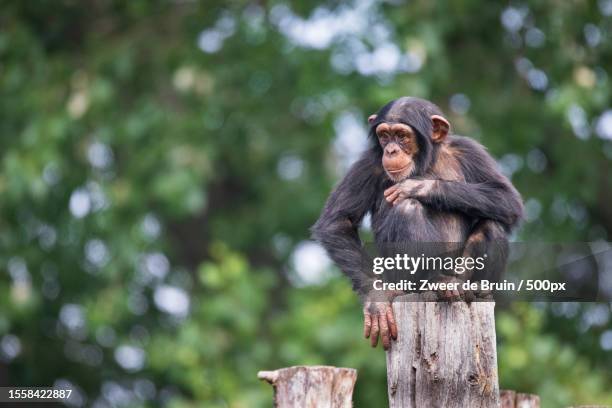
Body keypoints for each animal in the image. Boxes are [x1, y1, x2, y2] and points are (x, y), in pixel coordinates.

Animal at [314, 96, 524, 350]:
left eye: (402, 135)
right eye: (384, 136)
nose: (391, 150)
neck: (426, 162)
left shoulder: (470, 150)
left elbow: (507, 198)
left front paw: (418, 186)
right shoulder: (369, 163)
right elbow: (337, 222)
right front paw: (377, 299)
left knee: (492, 225)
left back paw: (475, 288)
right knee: (408, 211)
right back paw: (434, 281)